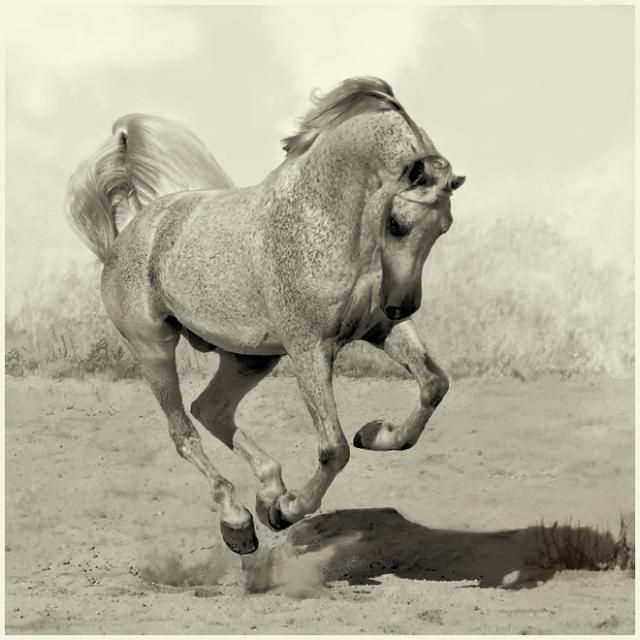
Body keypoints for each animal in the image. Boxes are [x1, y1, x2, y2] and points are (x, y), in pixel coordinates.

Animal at [66, 77, 465, 555]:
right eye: (398, 224)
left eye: (443, 227)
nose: (401, 305)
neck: (322, 219)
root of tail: (130, 232)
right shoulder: (309, 348)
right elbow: (333, 448)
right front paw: (287, 512)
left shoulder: (377, 329)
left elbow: (433, 384)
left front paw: (375, 433)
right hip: (154, 350)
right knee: (184, 434)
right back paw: (238, 520)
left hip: (250, 358)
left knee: (211, 410)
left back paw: (268, 489)